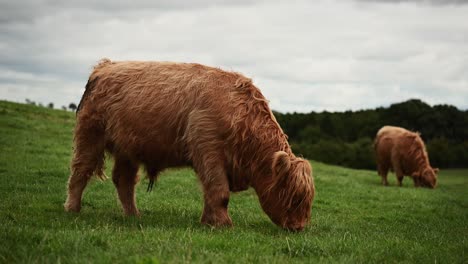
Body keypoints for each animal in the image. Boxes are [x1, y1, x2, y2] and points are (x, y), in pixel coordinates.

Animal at [64, 59, 316, 231]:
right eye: (294, 196)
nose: (298, 227)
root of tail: (105, 66)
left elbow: (210, 192)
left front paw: (208, 222)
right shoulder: (208, 150)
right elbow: (219, 191)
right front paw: (224, 223)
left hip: (128, 148)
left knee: (124, 181)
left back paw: (133, 215)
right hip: (90, 136)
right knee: (80, 172)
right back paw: (72, 209)